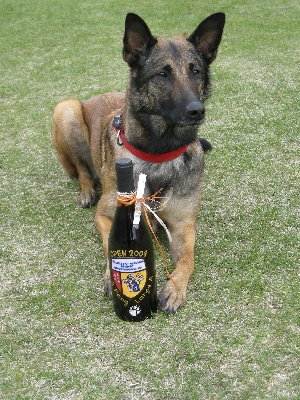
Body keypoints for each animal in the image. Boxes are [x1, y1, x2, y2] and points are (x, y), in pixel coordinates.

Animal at [51, 11, 225, 312]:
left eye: (196, 71)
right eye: (162, 73)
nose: (196, 111)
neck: (158, 152)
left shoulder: (183, 226)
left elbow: (187, 260)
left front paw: (175, 288)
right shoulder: (105, 215)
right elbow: (109, 246)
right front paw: (112, 276)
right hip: (67, 109)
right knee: (83, 170)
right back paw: (86, 190)